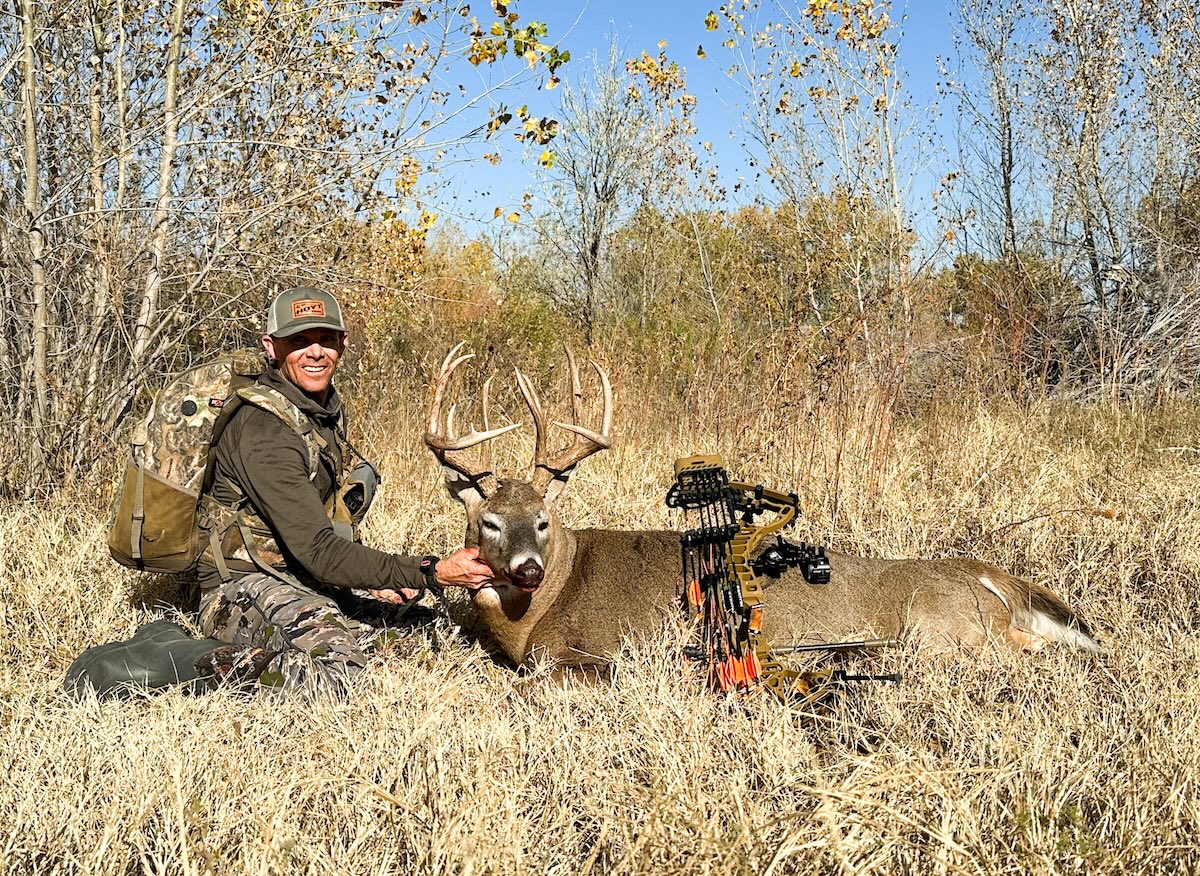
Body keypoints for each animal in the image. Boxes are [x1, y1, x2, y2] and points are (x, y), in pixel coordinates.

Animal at [423, 345, 1101, 670]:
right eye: (488, 522)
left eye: (543, 521)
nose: (528, 568)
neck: (534, 615)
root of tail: (986, 576)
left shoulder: (597, 651)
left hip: (940, 629)